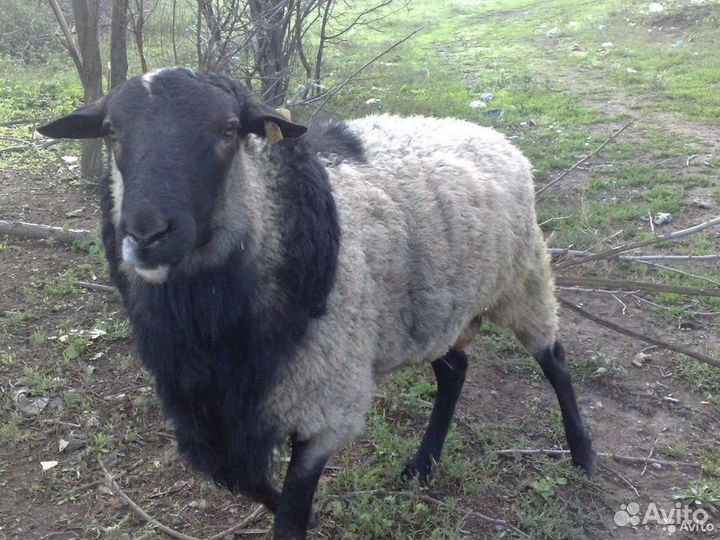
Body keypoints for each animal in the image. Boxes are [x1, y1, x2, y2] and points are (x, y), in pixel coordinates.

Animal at [38, 67, 596, 540]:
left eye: (228, 130)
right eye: (111, 131)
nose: (148, 235)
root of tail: (491, 135)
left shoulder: (325, 397)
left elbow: (289, 511)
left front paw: (302, 511)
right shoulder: (213, 406)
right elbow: (247, 481)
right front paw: (312, 510)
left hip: (524, 278)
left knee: (554, 360)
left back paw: (583, 455)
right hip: (435, 309)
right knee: (455, 370)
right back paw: (422, 466)